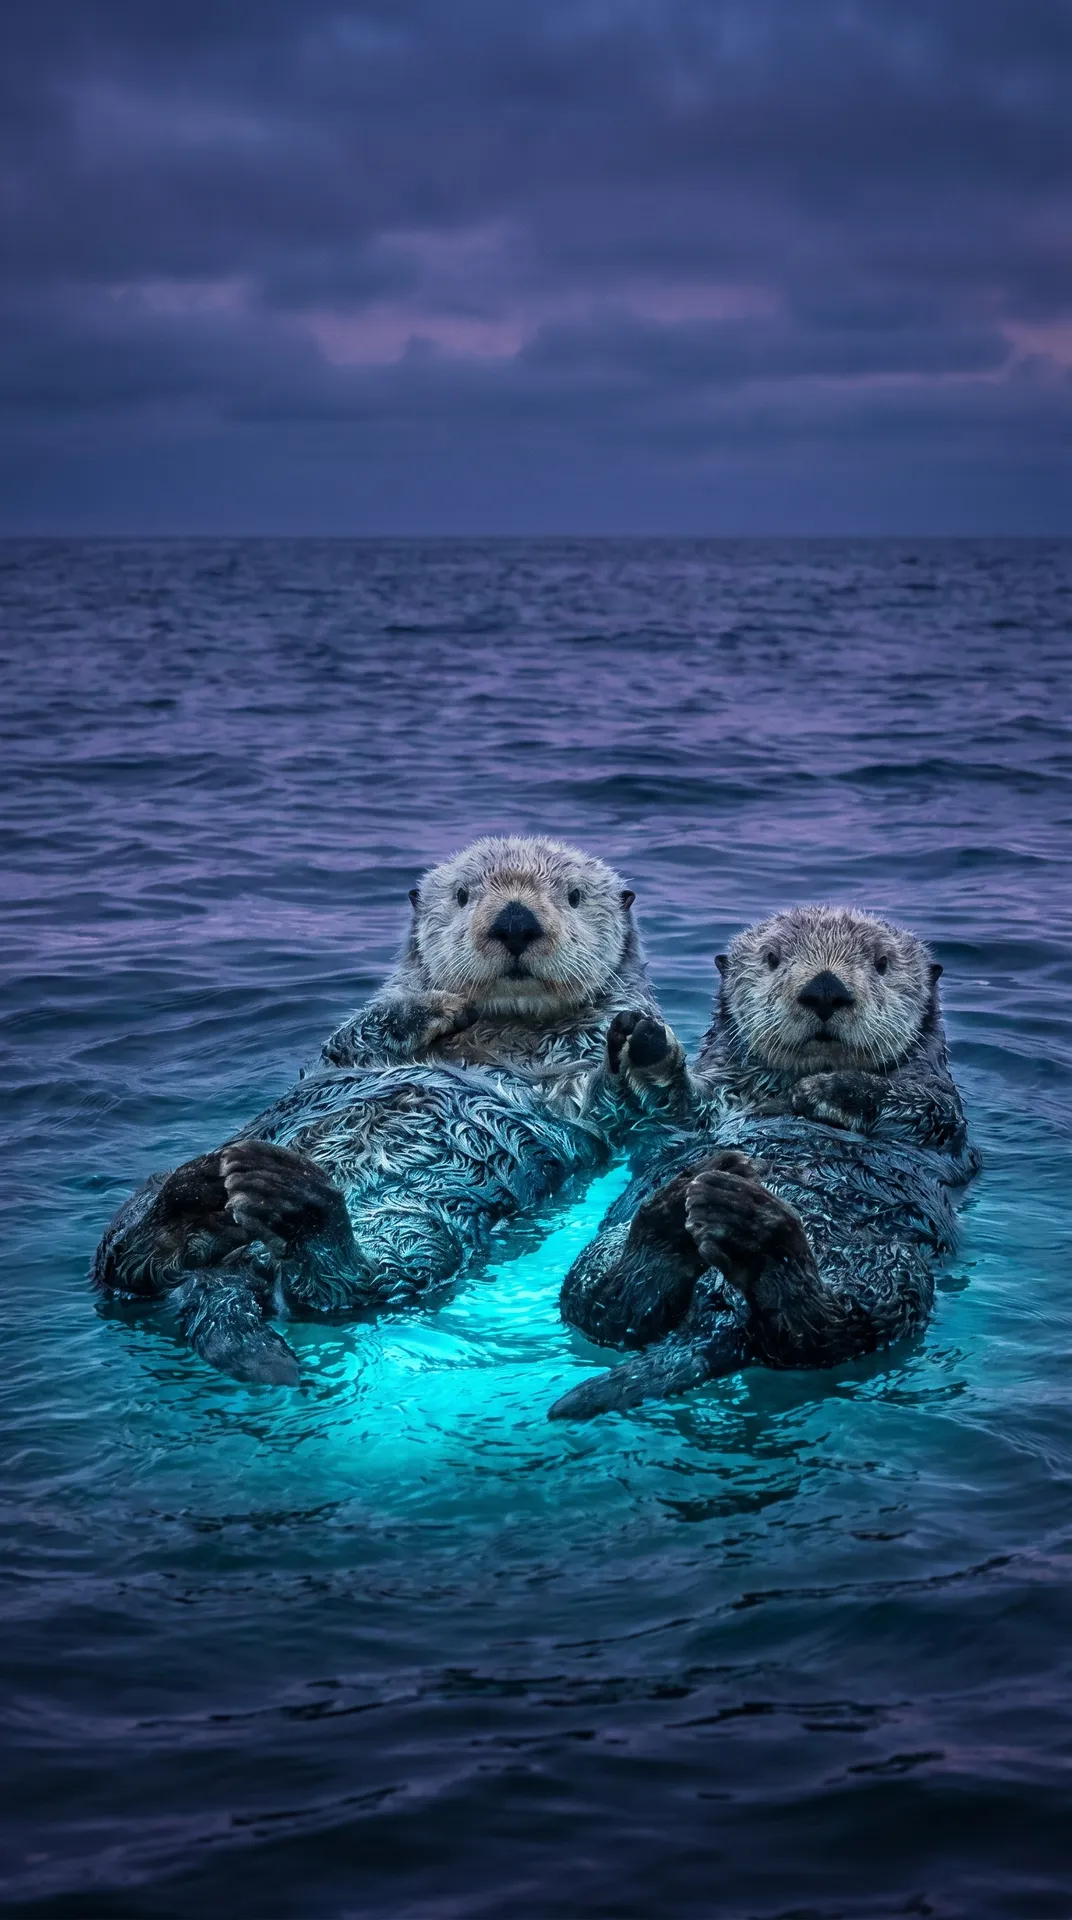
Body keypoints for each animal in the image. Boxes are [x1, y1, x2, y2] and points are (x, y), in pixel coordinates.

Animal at [92, 836, 664, 1386]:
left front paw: (632, 1050)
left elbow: (603, 1094)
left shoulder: (583, 1072)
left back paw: (293, 1202)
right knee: (121, 1261)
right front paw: (438, 1006)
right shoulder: (347, 1053)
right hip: (147, 1212)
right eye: (463, 895)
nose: (515, 921)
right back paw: (198, 1188)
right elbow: (354, 1039)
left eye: (574, 896)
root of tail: (234, 1263)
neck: (508, 1028)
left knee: (342, 1286)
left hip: (414, 1226)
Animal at [549, 905, 979, 1421]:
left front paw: (827, 1090)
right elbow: (674, 1107)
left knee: (822, 1330)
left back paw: (752, 1230)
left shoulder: (945, 1115)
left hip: (890, 1269)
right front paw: (647, 1041)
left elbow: (919, 1106)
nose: (825, 989)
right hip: (602, 1252)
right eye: (772, 958)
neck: (779, 1084)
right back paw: (680, 1214)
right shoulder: (708, 1105)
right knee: (606, 1308)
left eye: (881, 963)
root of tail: (719, 1313)